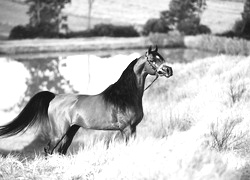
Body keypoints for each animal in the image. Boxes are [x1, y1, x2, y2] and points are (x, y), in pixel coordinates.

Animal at [0, 45, 172, 154]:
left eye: (161, 57)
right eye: (153, 60)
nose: (169, 70)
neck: (125, 96)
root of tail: (55, 97)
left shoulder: (133, 128)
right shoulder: (127, 129)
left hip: (70, 131)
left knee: (61, 151)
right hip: (59, 132)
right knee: (49, 150)